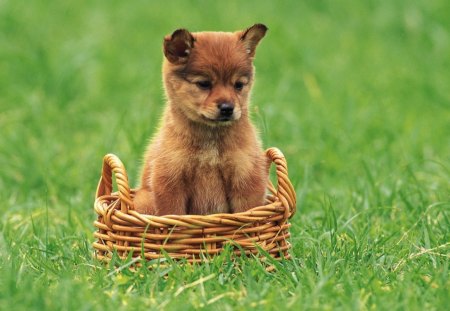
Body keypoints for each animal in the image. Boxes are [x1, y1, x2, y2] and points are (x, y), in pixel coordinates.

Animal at [133, 24, 268, 216]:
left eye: (239, 85)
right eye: (204, 84)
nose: (227, 108)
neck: (210, 140)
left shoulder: (246, 179)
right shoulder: (170, 181)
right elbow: (173, 214)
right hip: (144, 201)